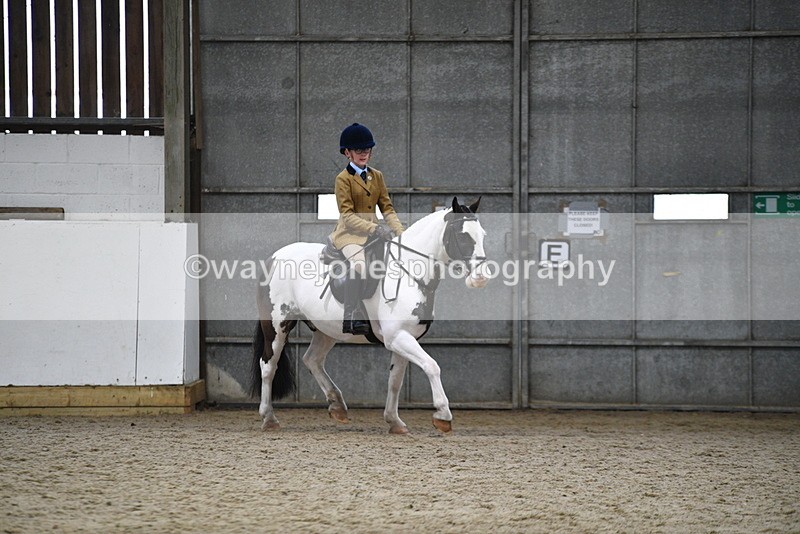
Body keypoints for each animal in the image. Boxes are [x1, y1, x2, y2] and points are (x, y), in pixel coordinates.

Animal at [250, 197, 490, 434]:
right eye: (463, 235)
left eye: (482, 235)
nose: (481, 278)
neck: (409, 272)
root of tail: (274, 257)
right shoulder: (398, 337)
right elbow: (432, 366)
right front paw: (443, 414)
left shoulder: (405, 338)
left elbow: (395, 381)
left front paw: (394, 421)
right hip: (277, 325)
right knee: (268, 366)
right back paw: (269, 418)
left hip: (326, 329)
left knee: (312, 360)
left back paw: (337, 406)